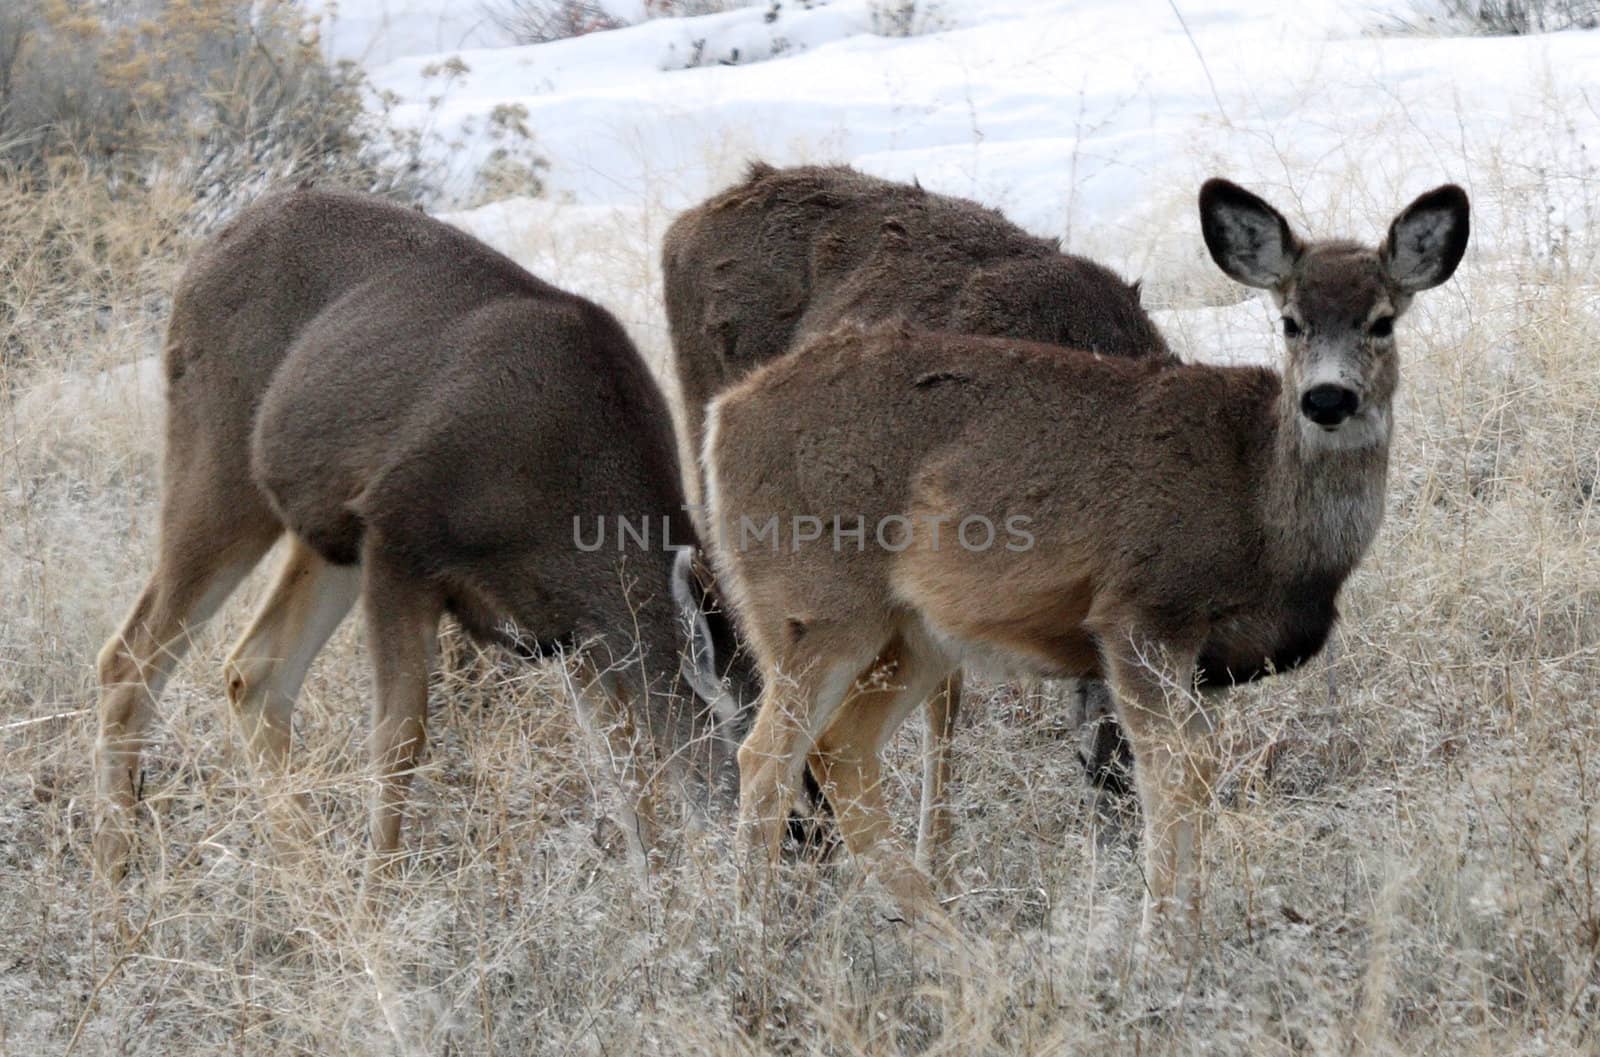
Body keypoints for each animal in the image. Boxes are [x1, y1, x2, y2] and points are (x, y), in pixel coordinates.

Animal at [93, 185, 748, 889]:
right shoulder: (399, 538)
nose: (789, 853)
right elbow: (400, 739)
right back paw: (116, 879)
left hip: (324, 534)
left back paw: (310, 876)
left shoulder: (570, 631)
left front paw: (649, 892)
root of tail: (209, 247)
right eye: (754, 748)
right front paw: (381, 895)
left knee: (253, 671)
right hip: (222, 459)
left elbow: (622, 765)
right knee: (129, 657)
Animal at [707, 179, 1465, 933]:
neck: (1262, 505)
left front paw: (1190, 929)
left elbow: (1200, 771)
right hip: (812, 601)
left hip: (913, 633)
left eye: (1382, 321)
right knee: (766, 756)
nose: (1327, 398)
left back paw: (954, 944)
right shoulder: (1139, 613)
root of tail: (725, 413)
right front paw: (1161, 940)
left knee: (841, 751)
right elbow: (1170, 775)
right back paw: (755, 937)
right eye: (1290, 321)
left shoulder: (1204, 662)